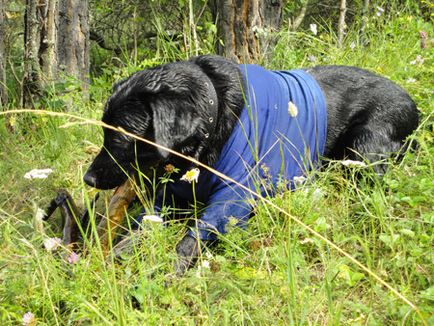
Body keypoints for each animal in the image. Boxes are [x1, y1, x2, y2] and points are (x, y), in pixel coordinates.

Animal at [83, 54, 418, 274]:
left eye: (120, 138)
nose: (87, 179)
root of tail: (414, 106)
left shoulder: (232, 200)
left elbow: (190, 240)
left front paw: (169, 273)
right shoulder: (172, 195)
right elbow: (140, 229)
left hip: (364, 146)